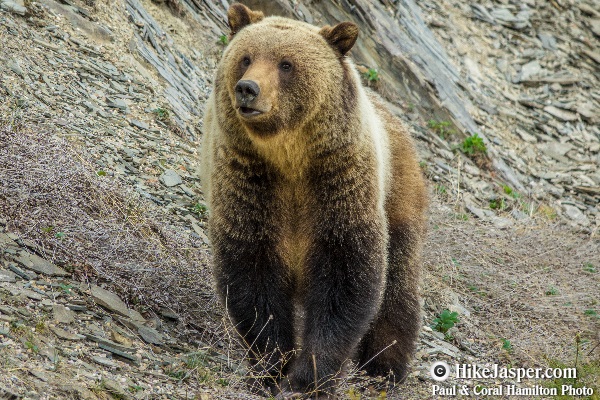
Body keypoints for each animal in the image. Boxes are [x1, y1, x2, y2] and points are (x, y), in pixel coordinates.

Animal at [199, 3, 428, 396]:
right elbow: (254, 278)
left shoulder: (337, 186)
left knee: (398, 280)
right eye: (245, 58)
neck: (289, 158)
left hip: (398, 190)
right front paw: (272, 367)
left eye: (286, 63)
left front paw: (309, 378)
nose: (248, 89)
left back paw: (385, 366)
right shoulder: (251, 185)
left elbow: (346, 278)